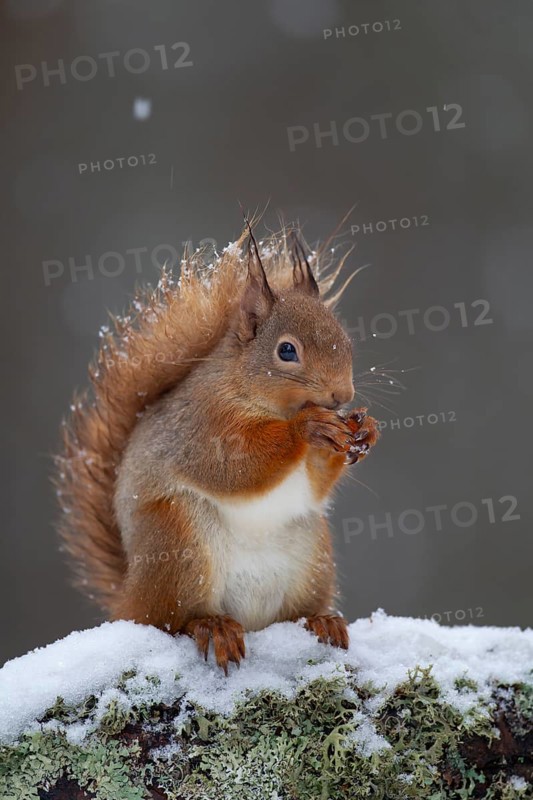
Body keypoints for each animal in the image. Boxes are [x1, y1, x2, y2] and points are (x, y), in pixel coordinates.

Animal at [55, 220, 380, 674]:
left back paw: (320, 620)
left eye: (345, 341)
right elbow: (232, 468)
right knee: (173, 621)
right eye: (286, 350)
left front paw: (365, 431)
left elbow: (315, 484)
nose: (342, 395)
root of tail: (131, 596)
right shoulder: (202, 426)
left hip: (311, 554)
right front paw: (307, 427)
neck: (249, 391)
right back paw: (212, 626)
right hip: (179, 542)